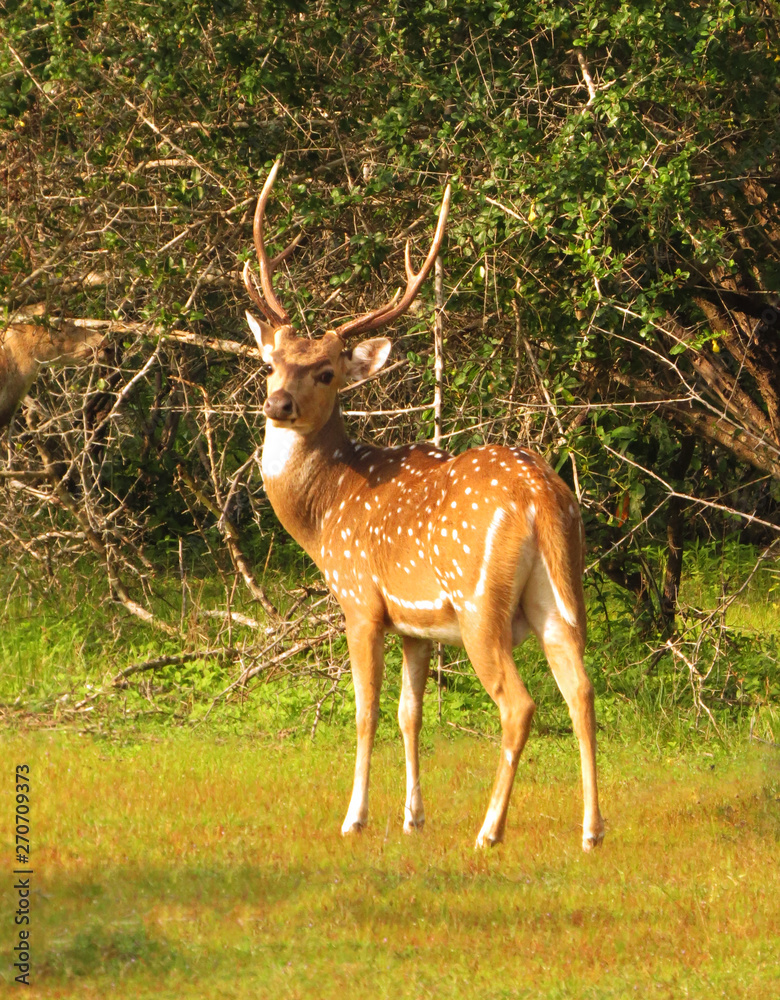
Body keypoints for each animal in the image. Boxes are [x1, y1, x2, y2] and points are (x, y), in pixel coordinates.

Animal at [243, 163, 605, 852]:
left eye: (326, 371)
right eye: (270, 362)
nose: (278, 404)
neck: (325, 514)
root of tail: (541, 496)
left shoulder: (360, 598)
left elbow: (366, 710)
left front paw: (354, 817)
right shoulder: (416, 623)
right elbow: (410, 714)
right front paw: (413, 816)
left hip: (478, 599)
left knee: (519, 704)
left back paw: (489, 831)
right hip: (558, 591)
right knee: (581, 688)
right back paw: (592, 831)